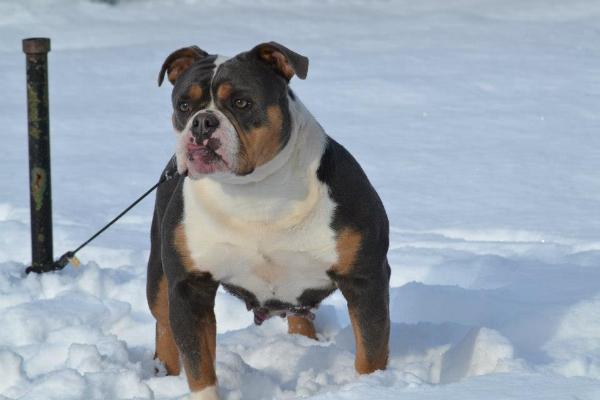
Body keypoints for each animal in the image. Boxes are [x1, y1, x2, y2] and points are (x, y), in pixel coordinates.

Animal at [145, 42, 390, 398]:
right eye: (184, 105)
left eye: (241, 103)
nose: (202, 122)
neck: (254, 193)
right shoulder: (189, 287)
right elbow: (198, 363)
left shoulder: (365, 279)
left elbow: (371, 351)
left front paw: (371, 387)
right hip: (160, 277)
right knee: (163, 323)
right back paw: (165, 373)